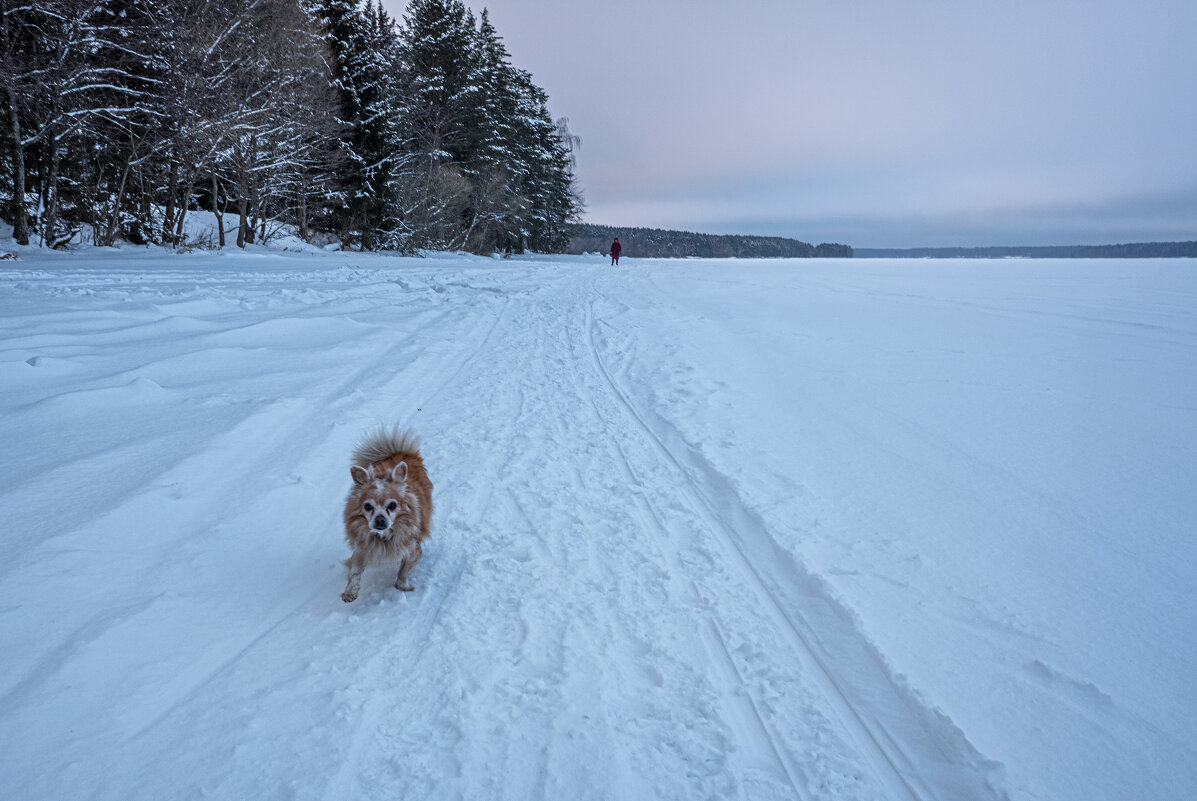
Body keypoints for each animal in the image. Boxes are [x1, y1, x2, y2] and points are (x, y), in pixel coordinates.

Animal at [342, 423, 435, 598]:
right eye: (367, 506)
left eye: (392, 505)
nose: (380, 519)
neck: (383, 536)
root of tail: (398, 453)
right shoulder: (362, 549)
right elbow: (355, 571)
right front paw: (351, 591)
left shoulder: (413, 549)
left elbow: (404, 570)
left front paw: (402, 585)